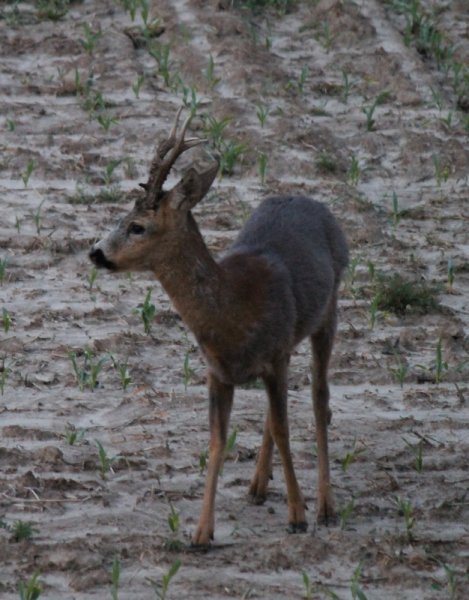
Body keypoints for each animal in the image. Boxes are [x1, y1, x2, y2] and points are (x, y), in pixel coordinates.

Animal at [89, 107, 349, 547]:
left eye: (137, 225)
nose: (96, 253)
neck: (231, 313)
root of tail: (312, 200)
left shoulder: (274, 355)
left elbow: (284, 428)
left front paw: (298, 515)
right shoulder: (218, 371)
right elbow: (217, 440)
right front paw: (200, 533)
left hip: (327, 312)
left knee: (320, 399)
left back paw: (326, 506)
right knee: (281, 410)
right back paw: (258, 486)